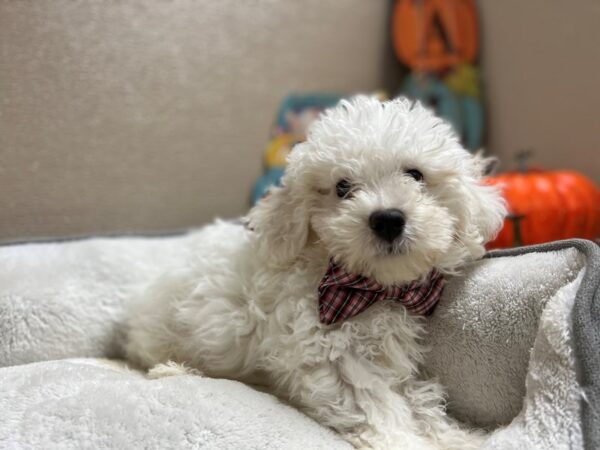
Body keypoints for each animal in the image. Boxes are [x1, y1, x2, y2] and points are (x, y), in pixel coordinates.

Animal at [126, 96, 506, 448]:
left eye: (415, 175)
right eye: (342, 187)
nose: (387, 219)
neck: (375, 289)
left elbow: (418, 399)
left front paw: (456, 437)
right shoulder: (326, 351)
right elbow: (374, 402)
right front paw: (404, 440)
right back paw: (174, 369)